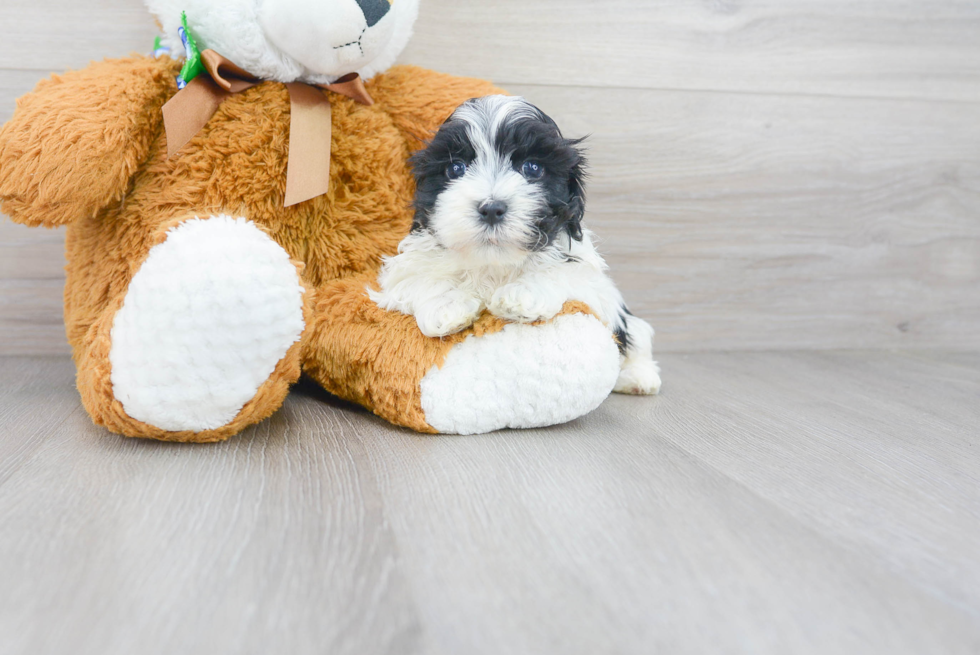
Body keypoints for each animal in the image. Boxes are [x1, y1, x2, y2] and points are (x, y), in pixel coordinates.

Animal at [372, 95, 664, 394]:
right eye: (456, 168)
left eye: (532, 168)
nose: (491, 208)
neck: (493, 263)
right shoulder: (404, 271)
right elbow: (419, 278)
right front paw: (447, 306)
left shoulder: (591, 279)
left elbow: (564, 273)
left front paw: (522, 295)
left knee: (638, 339)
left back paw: (638, 377)